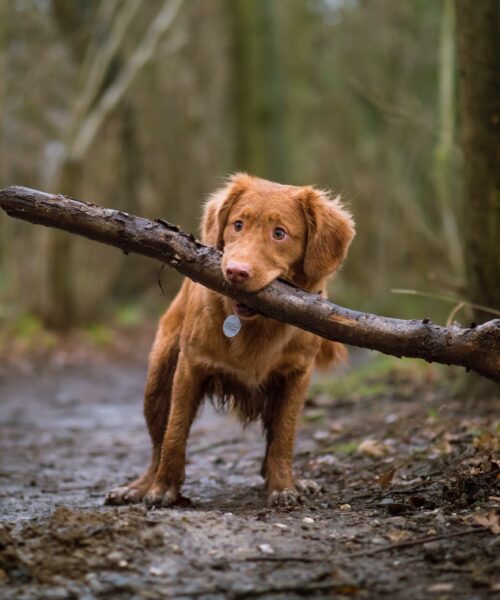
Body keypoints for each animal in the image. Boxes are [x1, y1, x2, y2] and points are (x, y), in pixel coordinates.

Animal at [106, 172, 356, 506]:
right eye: (238, 225)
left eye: (279, 234)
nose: (236, 272)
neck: (256, 324)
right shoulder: (190, 367)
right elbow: (175, 432)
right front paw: (163, 488)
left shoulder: (297, 376)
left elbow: (284, 436)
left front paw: (283, 486)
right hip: (158, 379)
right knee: (158, 443)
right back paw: (140, 486)